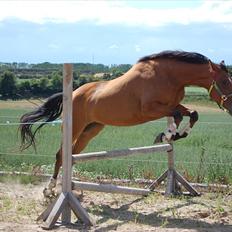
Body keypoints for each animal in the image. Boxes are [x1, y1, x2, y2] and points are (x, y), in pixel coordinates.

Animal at [18, 51, 232, 194]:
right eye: (225, 82)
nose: (231, 107)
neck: (168, 75)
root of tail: (72, 93)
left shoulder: (173, 105)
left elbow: (192, 114)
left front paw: (173, 134)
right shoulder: (150, 109)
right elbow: (178, 115)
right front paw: (166, 135)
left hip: (91, 129)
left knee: (72, 153)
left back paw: (71, 186)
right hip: (75, 127)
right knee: (60, 154)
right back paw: (50, 189)